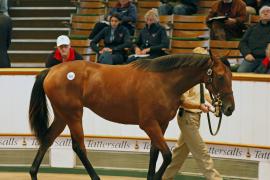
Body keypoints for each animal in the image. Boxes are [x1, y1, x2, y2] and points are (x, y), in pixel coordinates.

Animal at [28, 52, 234, 179]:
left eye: (231, 76)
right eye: (220, 76)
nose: (229, 108)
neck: (164, 82)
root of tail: (51, 70)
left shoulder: (161, 124)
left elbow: (155, 153)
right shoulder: (149, 124)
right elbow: (167, 156)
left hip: (62, 116)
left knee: (47, 140)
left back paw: (33, 172)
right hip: (73, 115)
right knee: (79, 147)